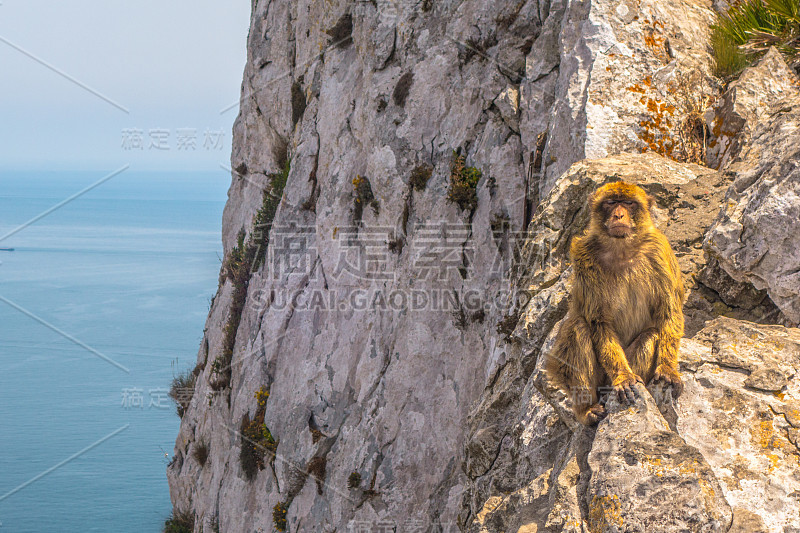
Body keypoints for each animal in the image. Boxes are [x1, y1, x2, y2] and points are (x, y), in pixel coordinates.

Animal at [548, 182, 684, 424]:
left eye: (628, 203)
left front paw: (668, 368)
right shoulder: (584, 256)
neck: (622, 250)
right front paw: (623, 377)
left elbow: (668, 311)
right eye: (611, 203)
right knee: (578, 327)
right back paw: (587, 409)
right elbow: (599, 321)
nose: (619, 215)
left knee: (651, 335)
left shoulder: (659, 251)